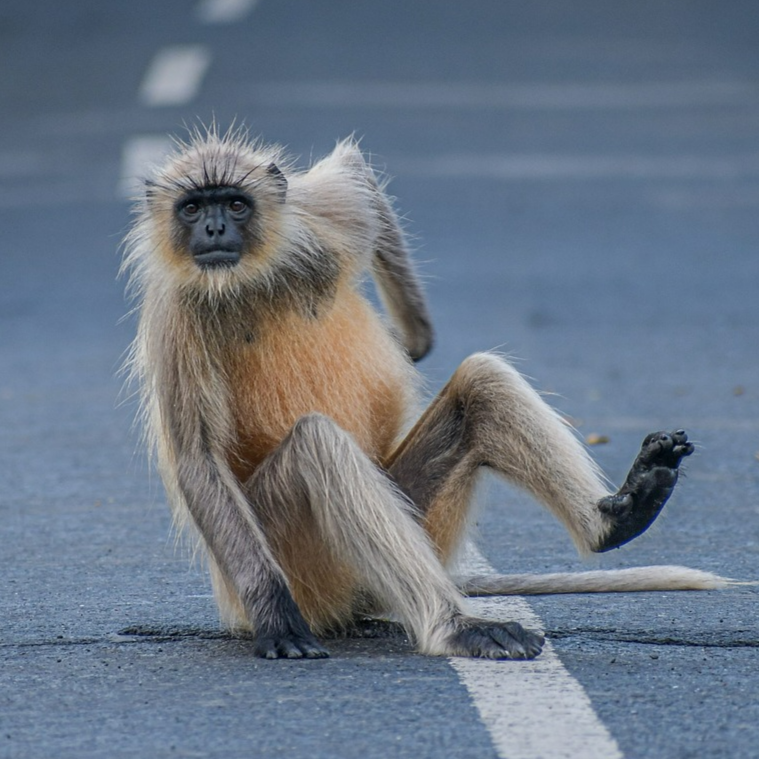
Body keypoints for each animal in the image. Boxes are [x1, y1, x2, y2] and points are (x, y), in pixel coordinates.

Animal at [123, 127, 732, 664]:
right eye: (192, 209)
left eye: (234, 203)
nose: (214, 229)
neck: (248, 281)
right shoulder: (177, 312)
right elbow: (198, 458)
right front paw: (276, 617)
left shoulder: (316, 216)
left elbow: (358, 177)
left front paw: (413, 340)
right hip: (298, 560)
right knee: (318, 445)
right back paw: (454, 626)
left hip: (414, 517)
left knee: (481, 384)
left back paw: (621, 515)